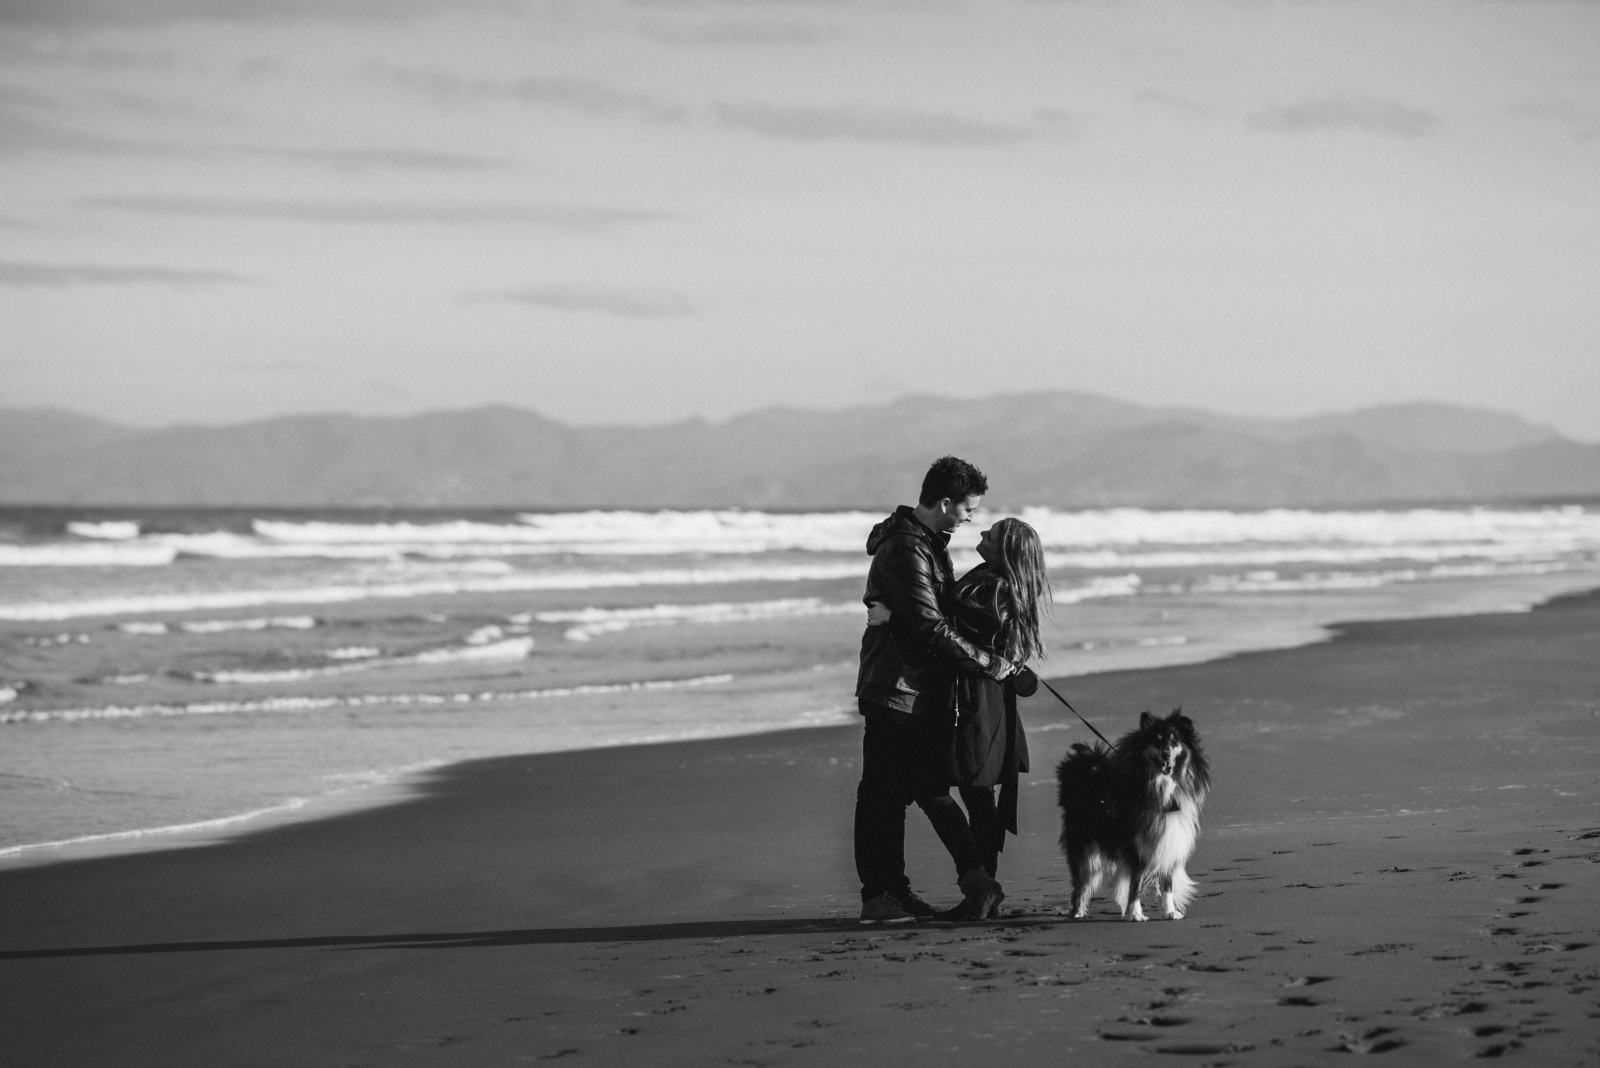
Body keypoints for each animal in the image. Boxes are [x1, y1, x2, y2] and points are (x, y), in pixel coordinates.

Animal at [1055, 709, 1210, 921]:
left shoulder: (1168, 840)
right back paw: (1077, 912)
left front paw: (1170, 912)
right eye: (1156, 741)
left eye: (1175, 741)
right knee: (1081, 882)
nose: (1166, 754)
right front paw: (1135, 913)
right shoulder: (1136, 845)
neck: (1161, 785)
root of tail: (1085, 767)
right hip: (1084, 846)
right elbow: (1135, 883)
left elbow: (1167, 883)